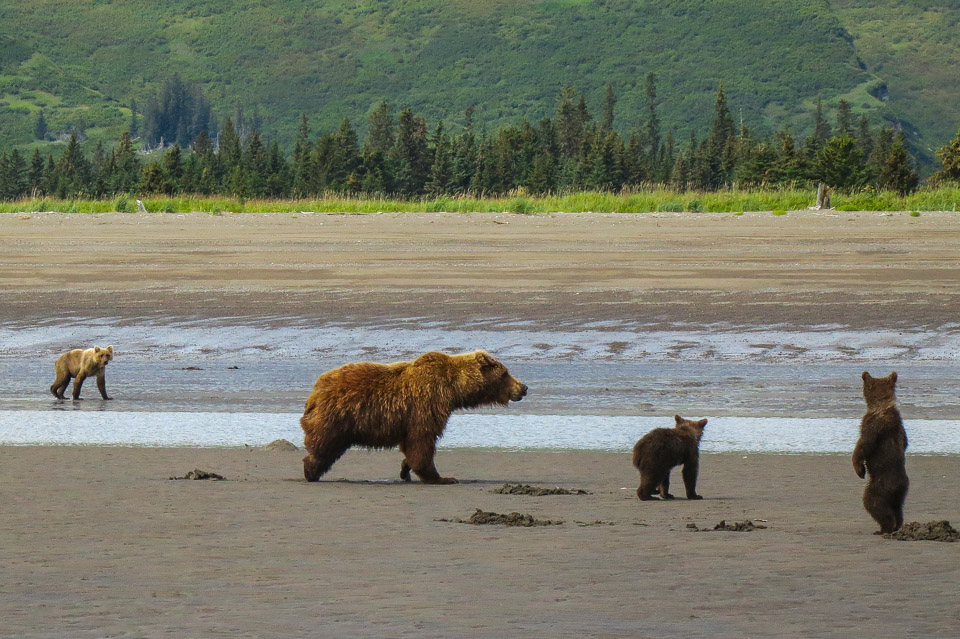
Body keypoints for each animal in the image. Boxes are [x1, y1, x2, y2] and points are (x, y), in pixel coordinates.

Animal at [298, 352, 524, 482]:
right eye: (505, 373)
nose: (524, 387)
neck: (453, 389)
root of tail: (315, 390)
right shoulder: (426, 405)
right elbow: (422, 441)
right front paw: (442, 477)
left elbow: (411, 447)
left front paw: (405, 469)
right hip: (337, 416)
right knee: (324, 445)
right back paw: (310, 471)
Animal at [856, 372, 908, 532]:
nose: (864, 373)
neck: (881, 406)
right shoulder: (902, 429)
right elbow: (906, 442)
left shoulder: (873, 424)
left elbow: (864, 445)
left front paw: (859, 469)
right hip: (900, 493)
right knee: (897, 508)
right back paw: (897, 525)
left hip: (881, 485)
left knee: (873, 503)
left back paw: (885, 527)